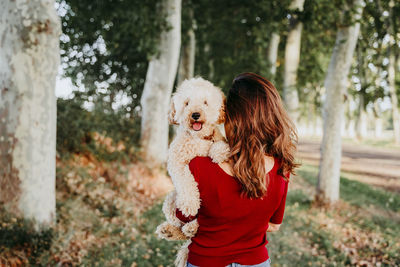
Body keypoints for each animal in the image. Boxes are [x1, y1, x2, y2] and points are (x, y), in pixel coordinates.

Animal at [156, 78, 231, 267]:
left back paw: (191, 227)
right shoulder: (176, 161)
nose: (195, 114)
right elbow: (185, 181)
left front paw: (219, 152)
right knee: (180, 225)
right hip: (171, 199)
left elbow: (219, 145)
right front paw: (190, 204)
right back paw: (173, 229)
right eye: (187, 103)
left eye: (205, 102)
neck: (199, 138)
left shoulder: (217, 139)